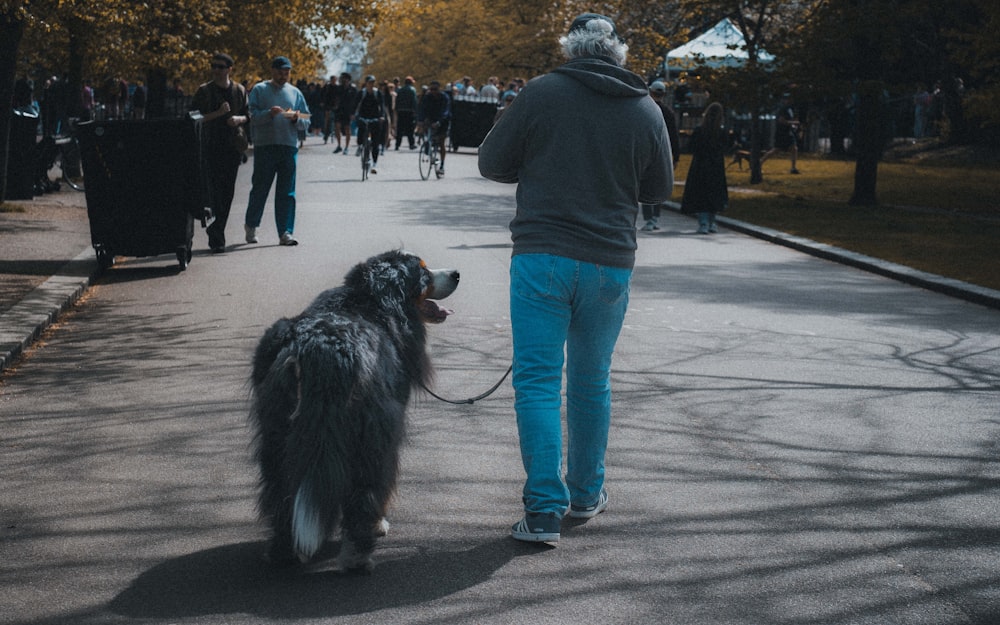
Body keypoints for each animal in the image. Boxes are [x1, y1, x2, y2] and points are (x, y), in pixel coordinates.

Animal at [250, 249, 458, 572]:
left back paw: (285, 552)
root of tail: (315, 346)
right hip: (371, 433)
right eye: (423, 272)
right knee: (365, 488)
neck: (373, 299)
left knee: (281, 489)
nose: (456, 274)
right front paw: (379, 523)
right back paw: (359, 555)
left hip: (275, 431)